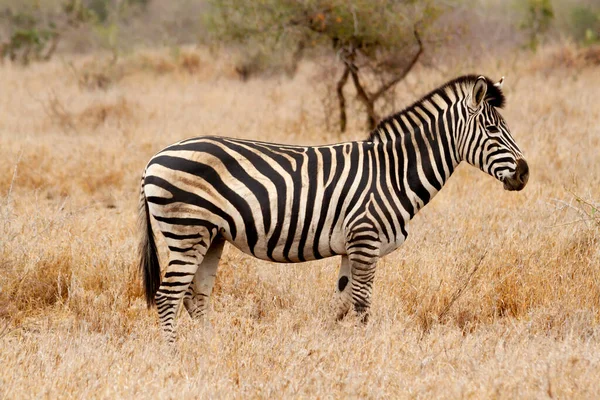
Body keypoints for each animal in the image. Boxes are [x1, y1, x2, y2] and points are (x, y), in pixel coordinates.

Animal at [138, 75, 528, 344]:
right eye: (492, 129)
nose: (524, 174)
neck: (393, 172)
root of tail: (154, 158)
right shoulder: (366, 240)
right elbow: (361, 304)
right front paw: (364, 350)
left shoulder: (351, 246)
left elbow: (340, 303)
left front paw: (326, 345)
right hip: (187, 231)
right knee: (168, 297)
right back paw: (174, 357)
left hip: (211, 236)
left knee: (196, 298)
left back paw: (211, 349)